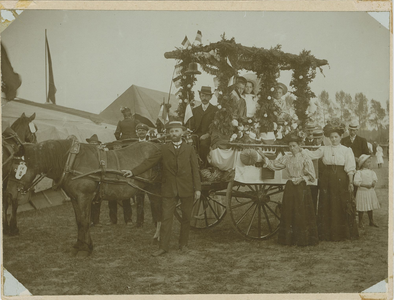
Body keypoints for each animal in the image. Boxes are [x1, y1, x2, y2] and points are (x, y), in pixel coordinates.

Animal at [9, 139, 163, 256]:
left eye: (17, 168)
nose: (10, 194)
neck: (71, 161)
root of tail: (159, 146)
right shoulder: (75, 198)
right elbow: (79, 221)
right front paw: (79, 246)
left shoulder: (84, 197)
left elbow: (84, 221)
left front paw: (86, 248)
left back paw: (158, 238)